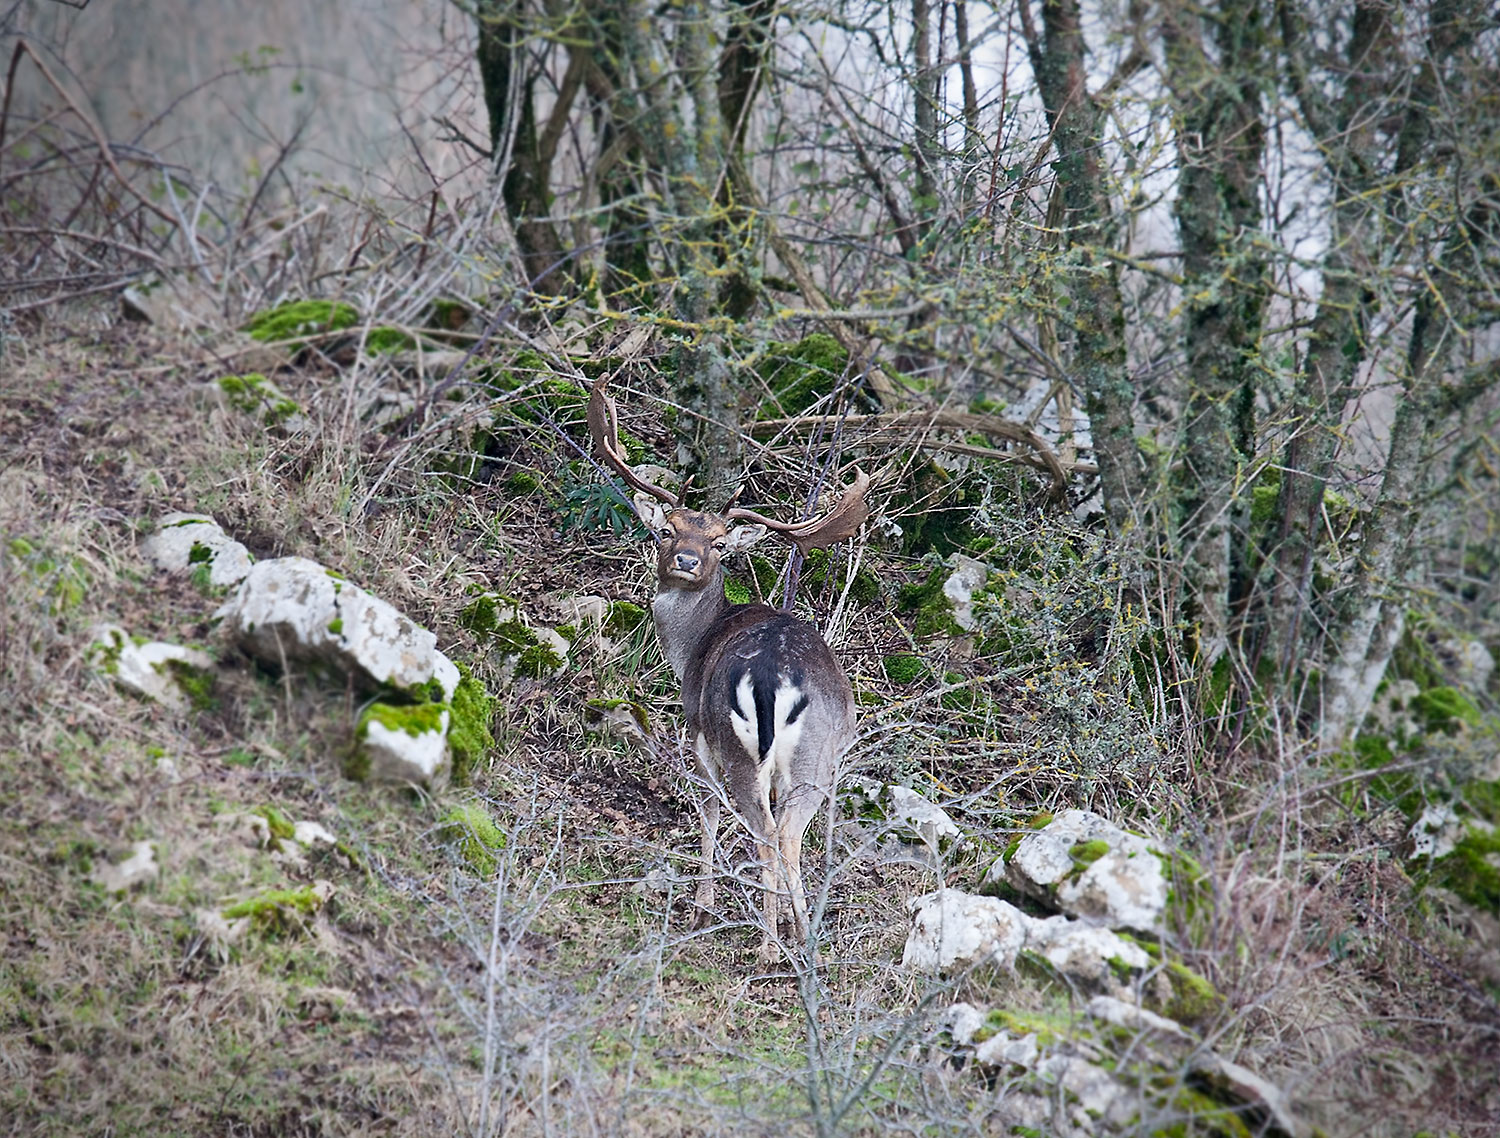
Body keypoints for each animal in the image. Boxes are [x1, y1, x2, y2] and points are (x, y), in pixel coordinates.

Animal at [588, 374, 869, 958]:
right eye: (667, 530)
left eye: (718, 543)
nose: (687, 560)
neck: (690, 645)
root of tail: (778, 681)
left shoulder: (696, 729)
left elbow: (708, 810)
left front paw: (702, 905)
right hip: (820, 754)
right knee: (790, 832)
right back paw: (802, 936)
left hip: (735, 740)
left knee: (766, 832)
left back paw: (767, 944)